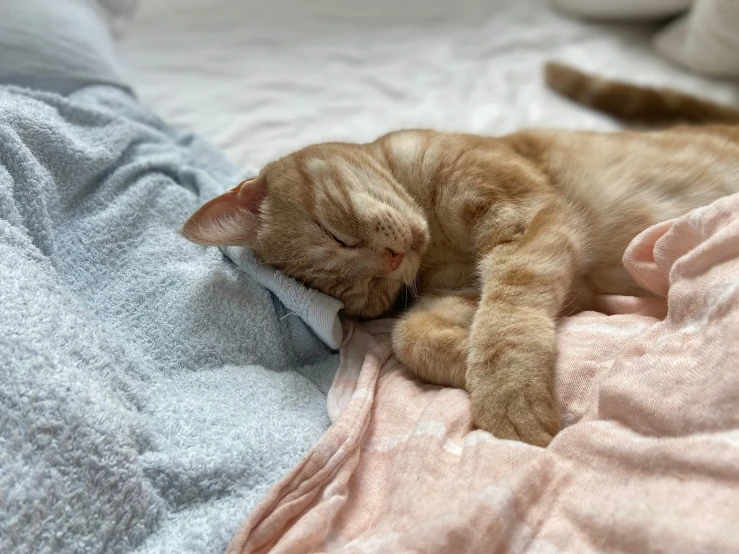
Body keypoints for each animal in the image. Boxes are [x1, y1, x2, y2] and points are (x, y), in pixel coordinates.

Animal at [182, 62, 739, 446]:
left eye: (336, 233)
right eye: (367, 294)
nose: (391, 260)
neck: (436, 244)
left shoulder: (523, 225)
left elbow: (504, 325)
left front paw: (507, 397)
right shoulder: (472, 290)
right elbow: (413, 336)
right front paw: (469, 362)